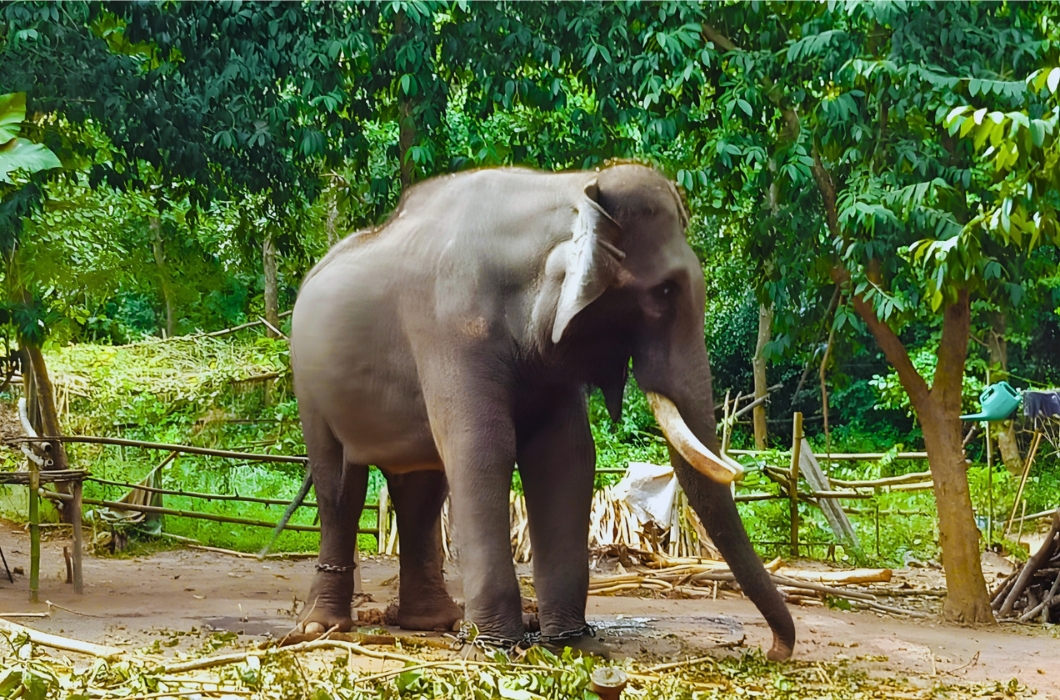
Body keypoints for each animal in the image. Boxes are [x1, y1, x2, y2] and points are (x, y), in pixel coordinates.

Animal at [290, 164, 797, 661]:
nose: (772, 650)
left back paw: (435, 623)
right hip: (309, 383)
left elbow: (565, 457)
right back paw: (321, 627)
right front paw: (496, 649)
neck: (566, 186)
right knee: (340, 485)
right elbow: (482, 451)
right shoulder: (450, 328)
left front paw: (574, 643)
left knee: (419, 487)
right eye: (666, 291)